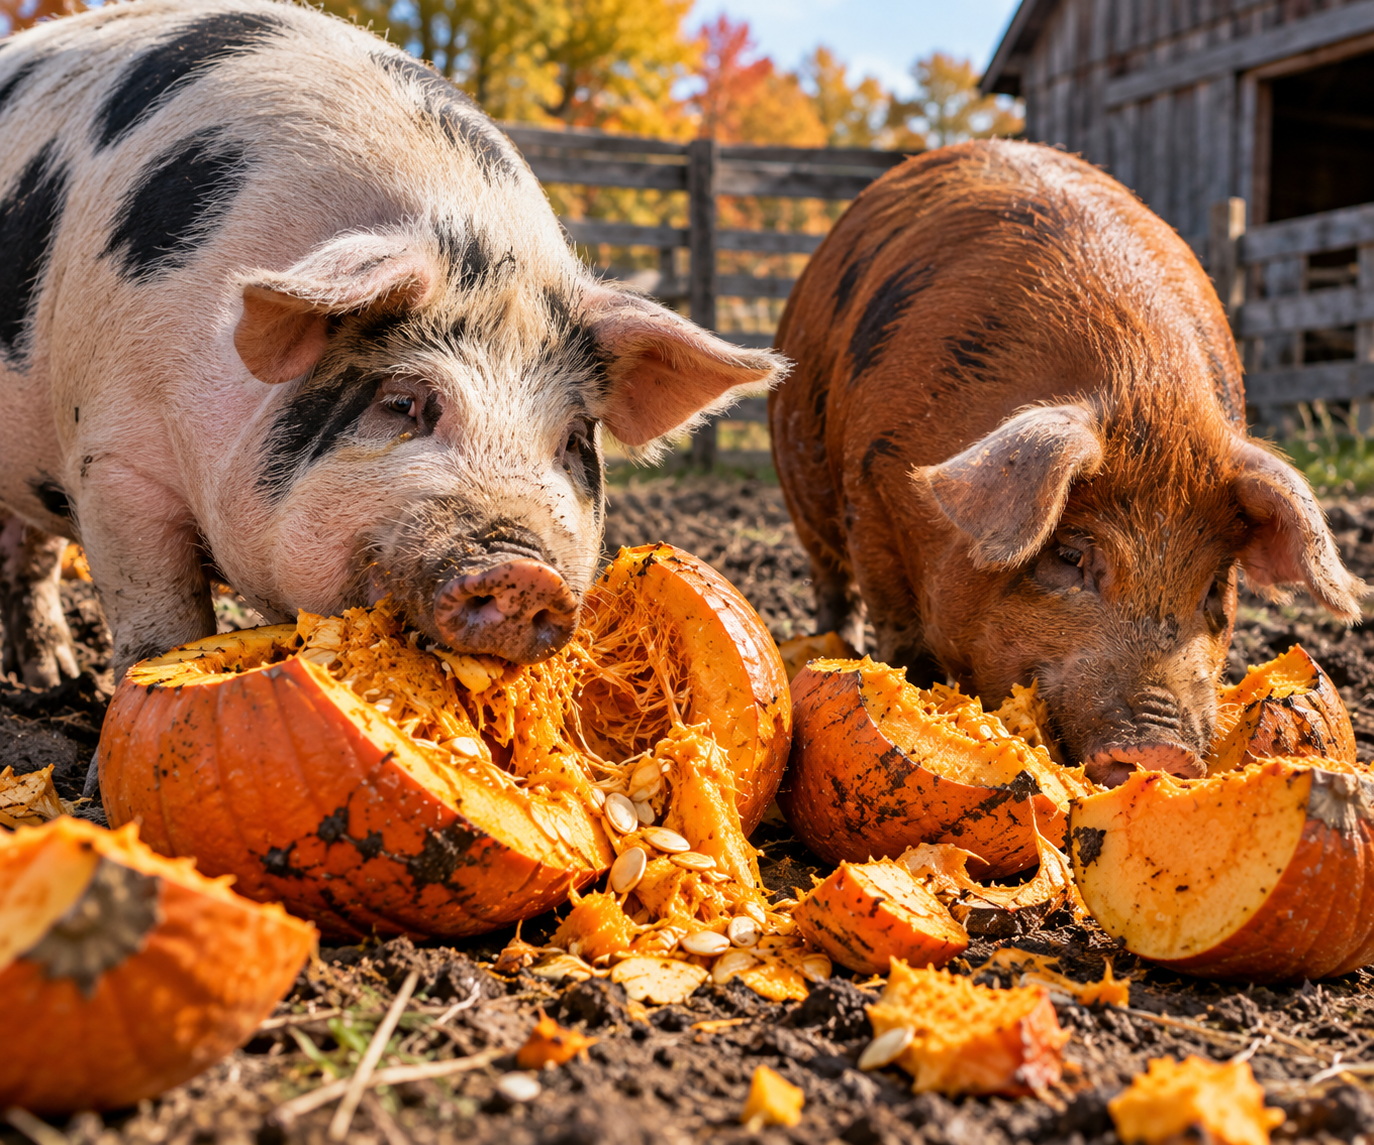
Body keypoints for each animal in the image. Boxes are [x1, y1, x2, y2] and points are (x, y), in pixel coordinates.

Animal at [0, 0, 783, 697]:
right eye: (403, 402)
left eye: (570, 441)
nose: (523, 569)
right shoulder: (113, 461)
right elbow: (162, 626)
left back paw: (52, 681)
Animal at [770, 140, 1366, 786]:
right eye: (1069, 556)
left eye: (1214, 586)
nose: (1161, 748)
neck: (1142, 384)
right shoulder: (871, 491)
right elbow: (901, 632)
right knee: (831, 580)